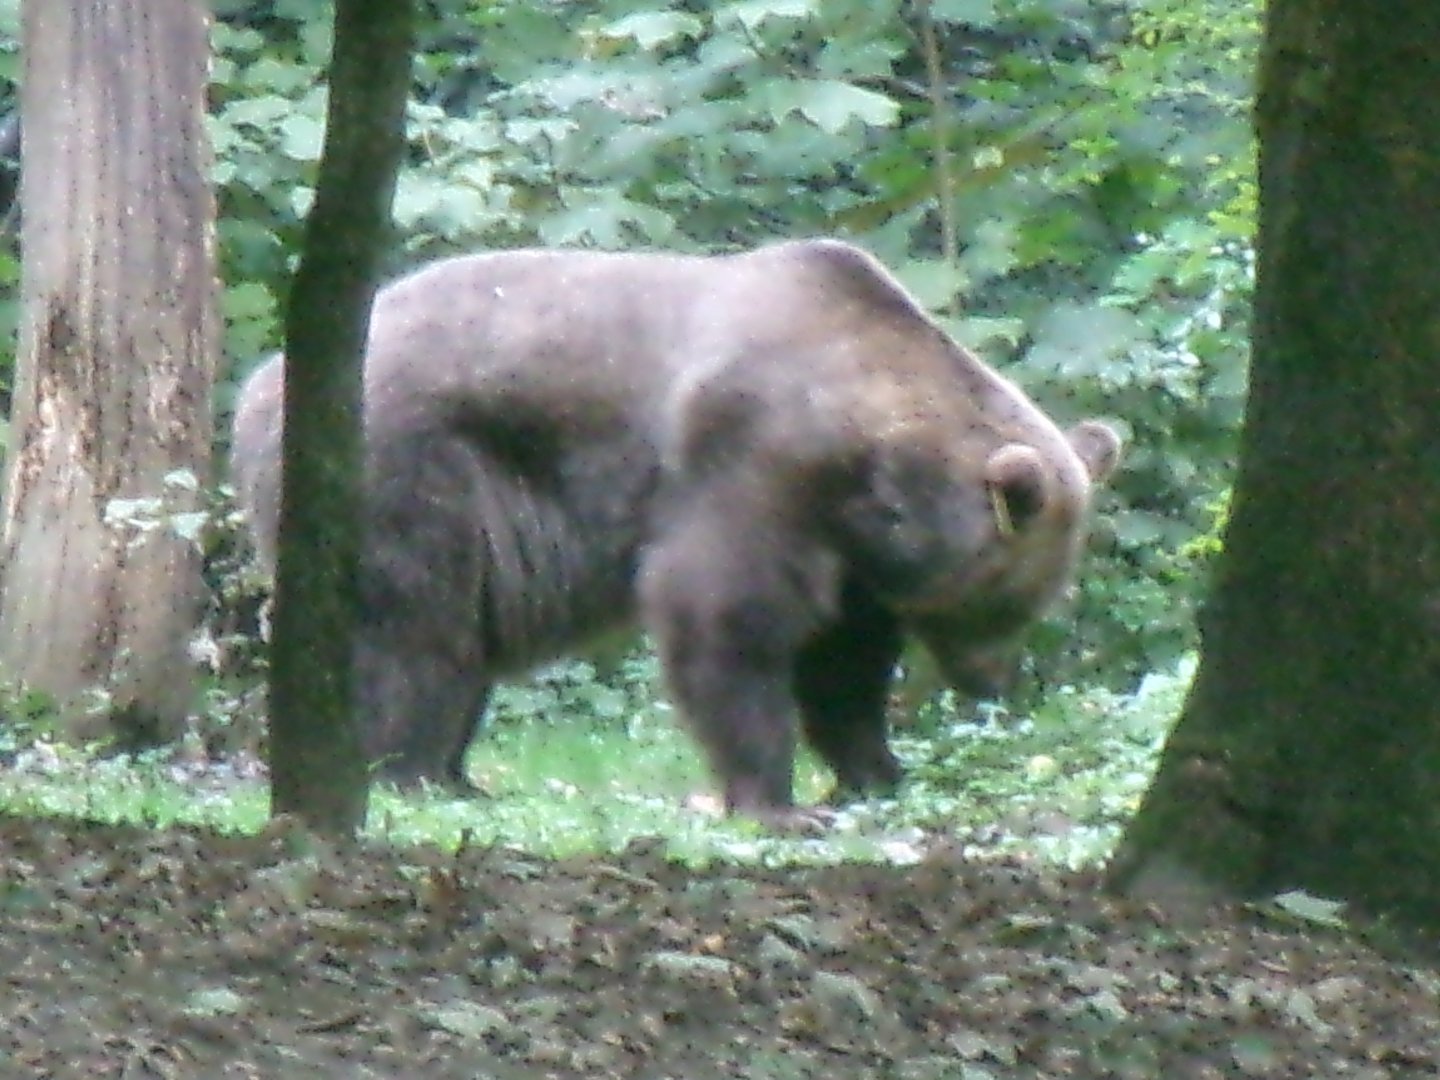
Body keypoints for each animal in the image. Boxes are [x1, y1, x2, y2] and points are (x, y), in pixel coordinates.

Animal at [230, 239, 1121, 820]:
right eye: (1017, 599)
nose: (993, 681)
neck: (866, 447)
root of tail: (261, 381)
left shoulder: (853, 554)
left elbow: (842, 665)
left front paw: (873, 771)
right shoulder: (750, 468)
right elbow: (726, 621)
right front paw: (773, 799)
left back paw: (456, 776)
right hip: (405, 469)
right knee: (412, 630)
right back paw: (407, 773)